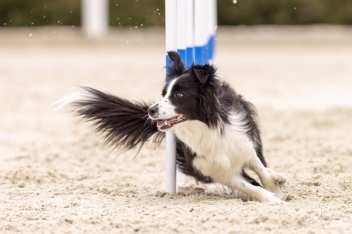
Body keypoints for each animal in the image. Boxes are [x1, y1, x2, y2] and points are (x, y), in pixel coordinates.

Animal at [57, 51, 288, 203]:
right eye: (163, 94)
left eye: (179, 95)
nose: (150, 110)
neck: (204, 126)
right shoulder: (209, 167)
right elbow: (247, 185)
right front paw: (273, 199)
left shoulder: (241, 143)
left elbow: (260, 169)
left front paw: (275, 189)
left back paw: (278, 176)